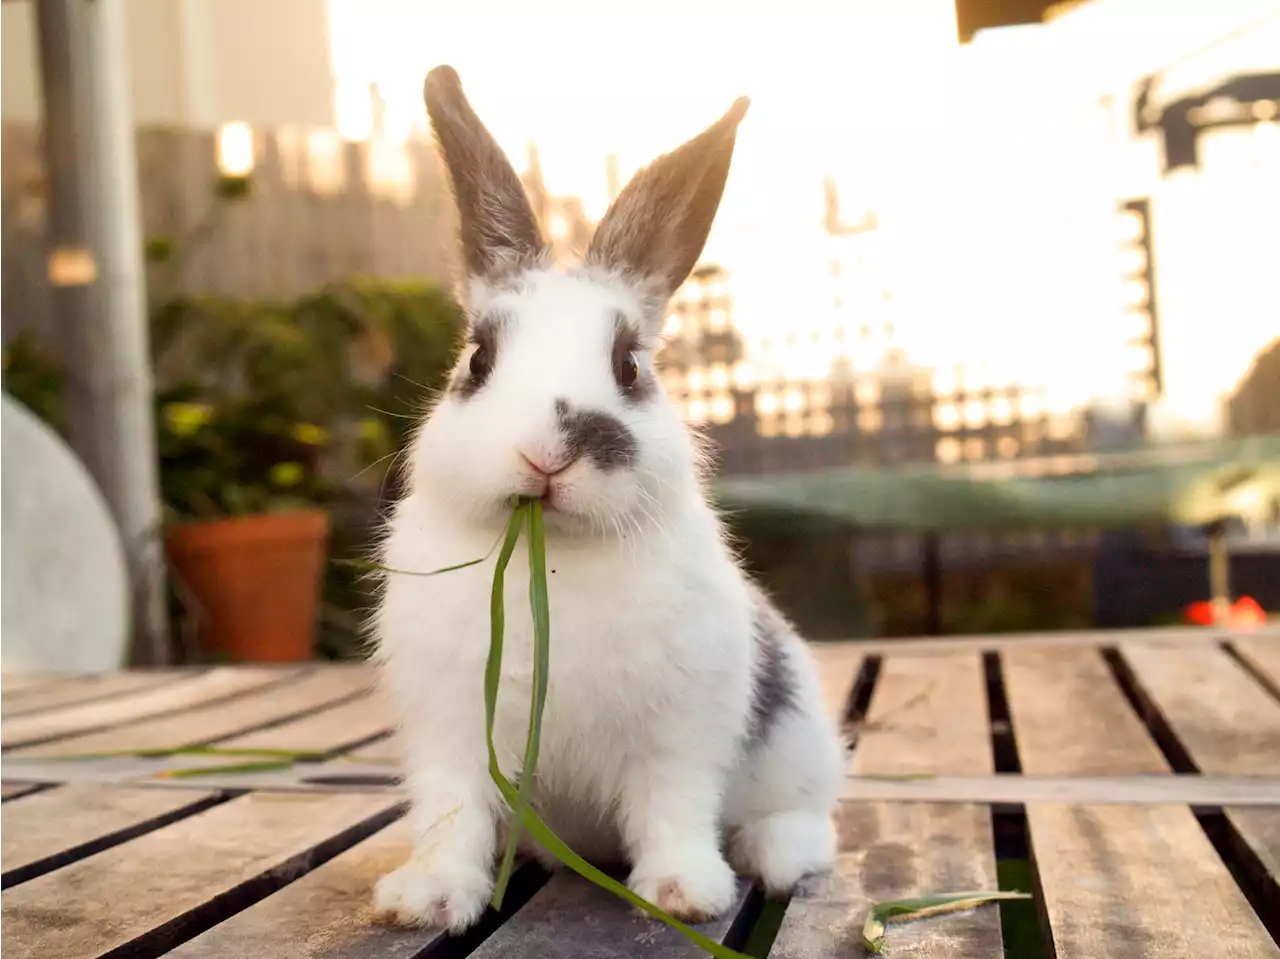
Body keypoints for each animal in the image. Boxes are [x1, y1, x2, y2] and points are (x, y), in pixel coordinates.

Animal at [368, 63, 849, 932]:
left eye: (629, 365)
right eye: (478, 359)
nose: (548, 452)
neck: (552, 556)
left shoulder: (680, 732)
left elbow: (673, 808)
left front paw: (684, 892)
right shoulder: (450, 733)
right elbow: (453, 816)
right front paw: (425, 898)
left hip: (798, 743)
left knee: (805, 819)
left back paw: (773, 852)